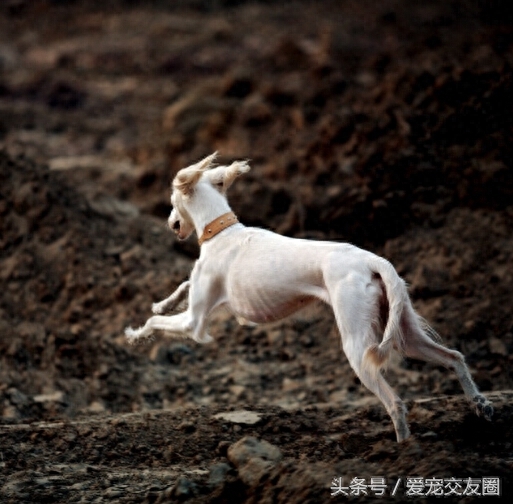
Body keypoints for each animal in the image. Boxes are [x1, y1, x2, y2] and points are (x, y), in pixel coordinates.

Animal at [125, 154, 492, 440]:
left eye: (172, 201)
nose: (171, 224)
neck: (222, 232)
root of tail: (374, 261)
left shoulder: (195, 322)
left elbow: (156, 320)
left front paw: (135, 334)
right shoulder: (205, 300)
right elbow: (181, 287)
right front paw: (162, 302)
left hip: (358, 347)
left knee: (396, 403)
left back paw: (404, 449)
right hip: (405, 333)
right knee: (454, 356)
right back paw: (480, 405)